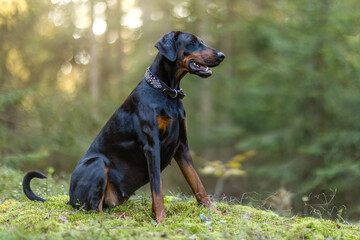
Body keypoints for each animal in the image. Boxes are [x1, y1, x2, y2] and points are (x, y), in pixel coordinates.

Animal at [22, 30, 225, 223]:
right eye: (192, 42)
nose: (222, 55)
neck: (167, 93)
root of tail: (70, 198)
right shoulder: (152, 147)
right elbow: (157, 188)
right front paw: (161, 219)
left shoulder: (182, 147)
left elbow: (197, 183)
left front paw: (214, 212)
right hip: (97, 163)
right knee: (94, 210)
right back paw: (120, 216)